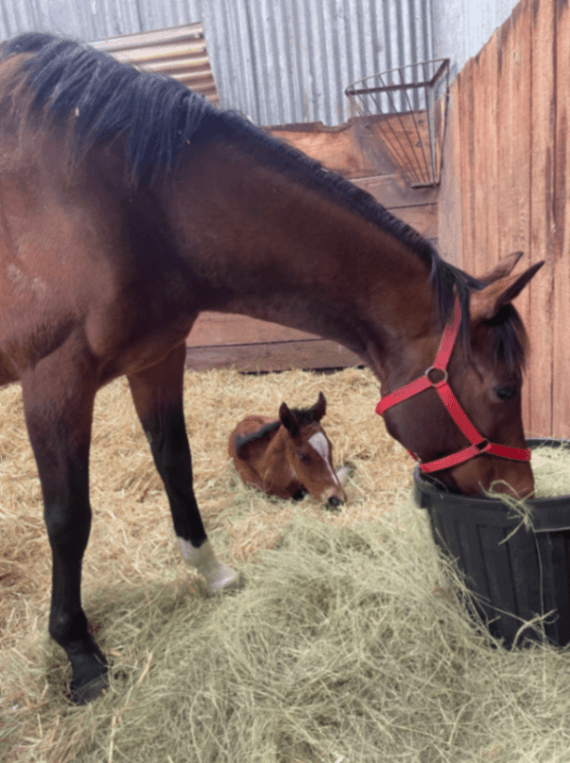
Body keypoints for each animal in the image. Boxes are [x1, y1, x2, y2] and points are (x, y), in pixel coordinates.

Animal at [0, 33, 543, 704]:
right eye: (506, 388)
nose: (522, 495)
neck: (130, 200)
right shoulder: (56, 380)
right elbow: (68, 518)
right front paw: (79, 651)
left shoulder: (157, 359)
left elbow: (175, 465)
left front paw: (211, 572)